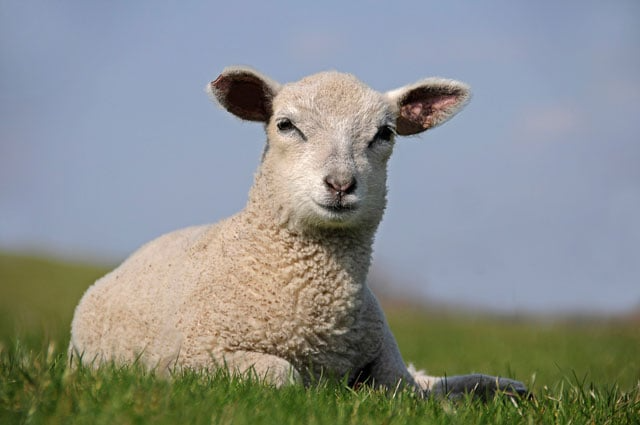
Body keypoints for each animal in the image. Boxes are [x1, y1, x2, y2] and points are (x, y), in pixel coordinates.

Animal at [69, 66, 527, 398]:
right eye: (286, 125)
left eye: (385, 133)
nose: (340, 184)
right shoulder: (198, 355)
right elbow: (283, 374)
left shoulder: (389, 363)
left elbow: (406, 392)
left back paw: (509, 387)